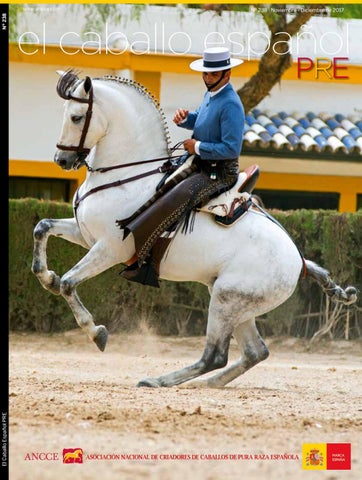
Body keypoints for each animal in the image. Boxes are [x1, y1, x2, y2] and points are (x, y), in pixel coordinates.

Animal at [31, 70, 356, 386]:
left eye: (76, 117)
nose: (62, 160)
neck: (126, 177)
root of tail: (298, 261)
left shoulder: (110, 248)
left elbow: (68, 283)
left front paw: (96, 332)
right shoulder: (86, 236)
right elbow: (42, 228)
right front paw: (46, 277)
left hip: (226, 299)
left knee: (215, 355)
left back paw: (159, 381)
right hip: (234, 301)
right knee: (254, 352)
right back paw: (203, 385)